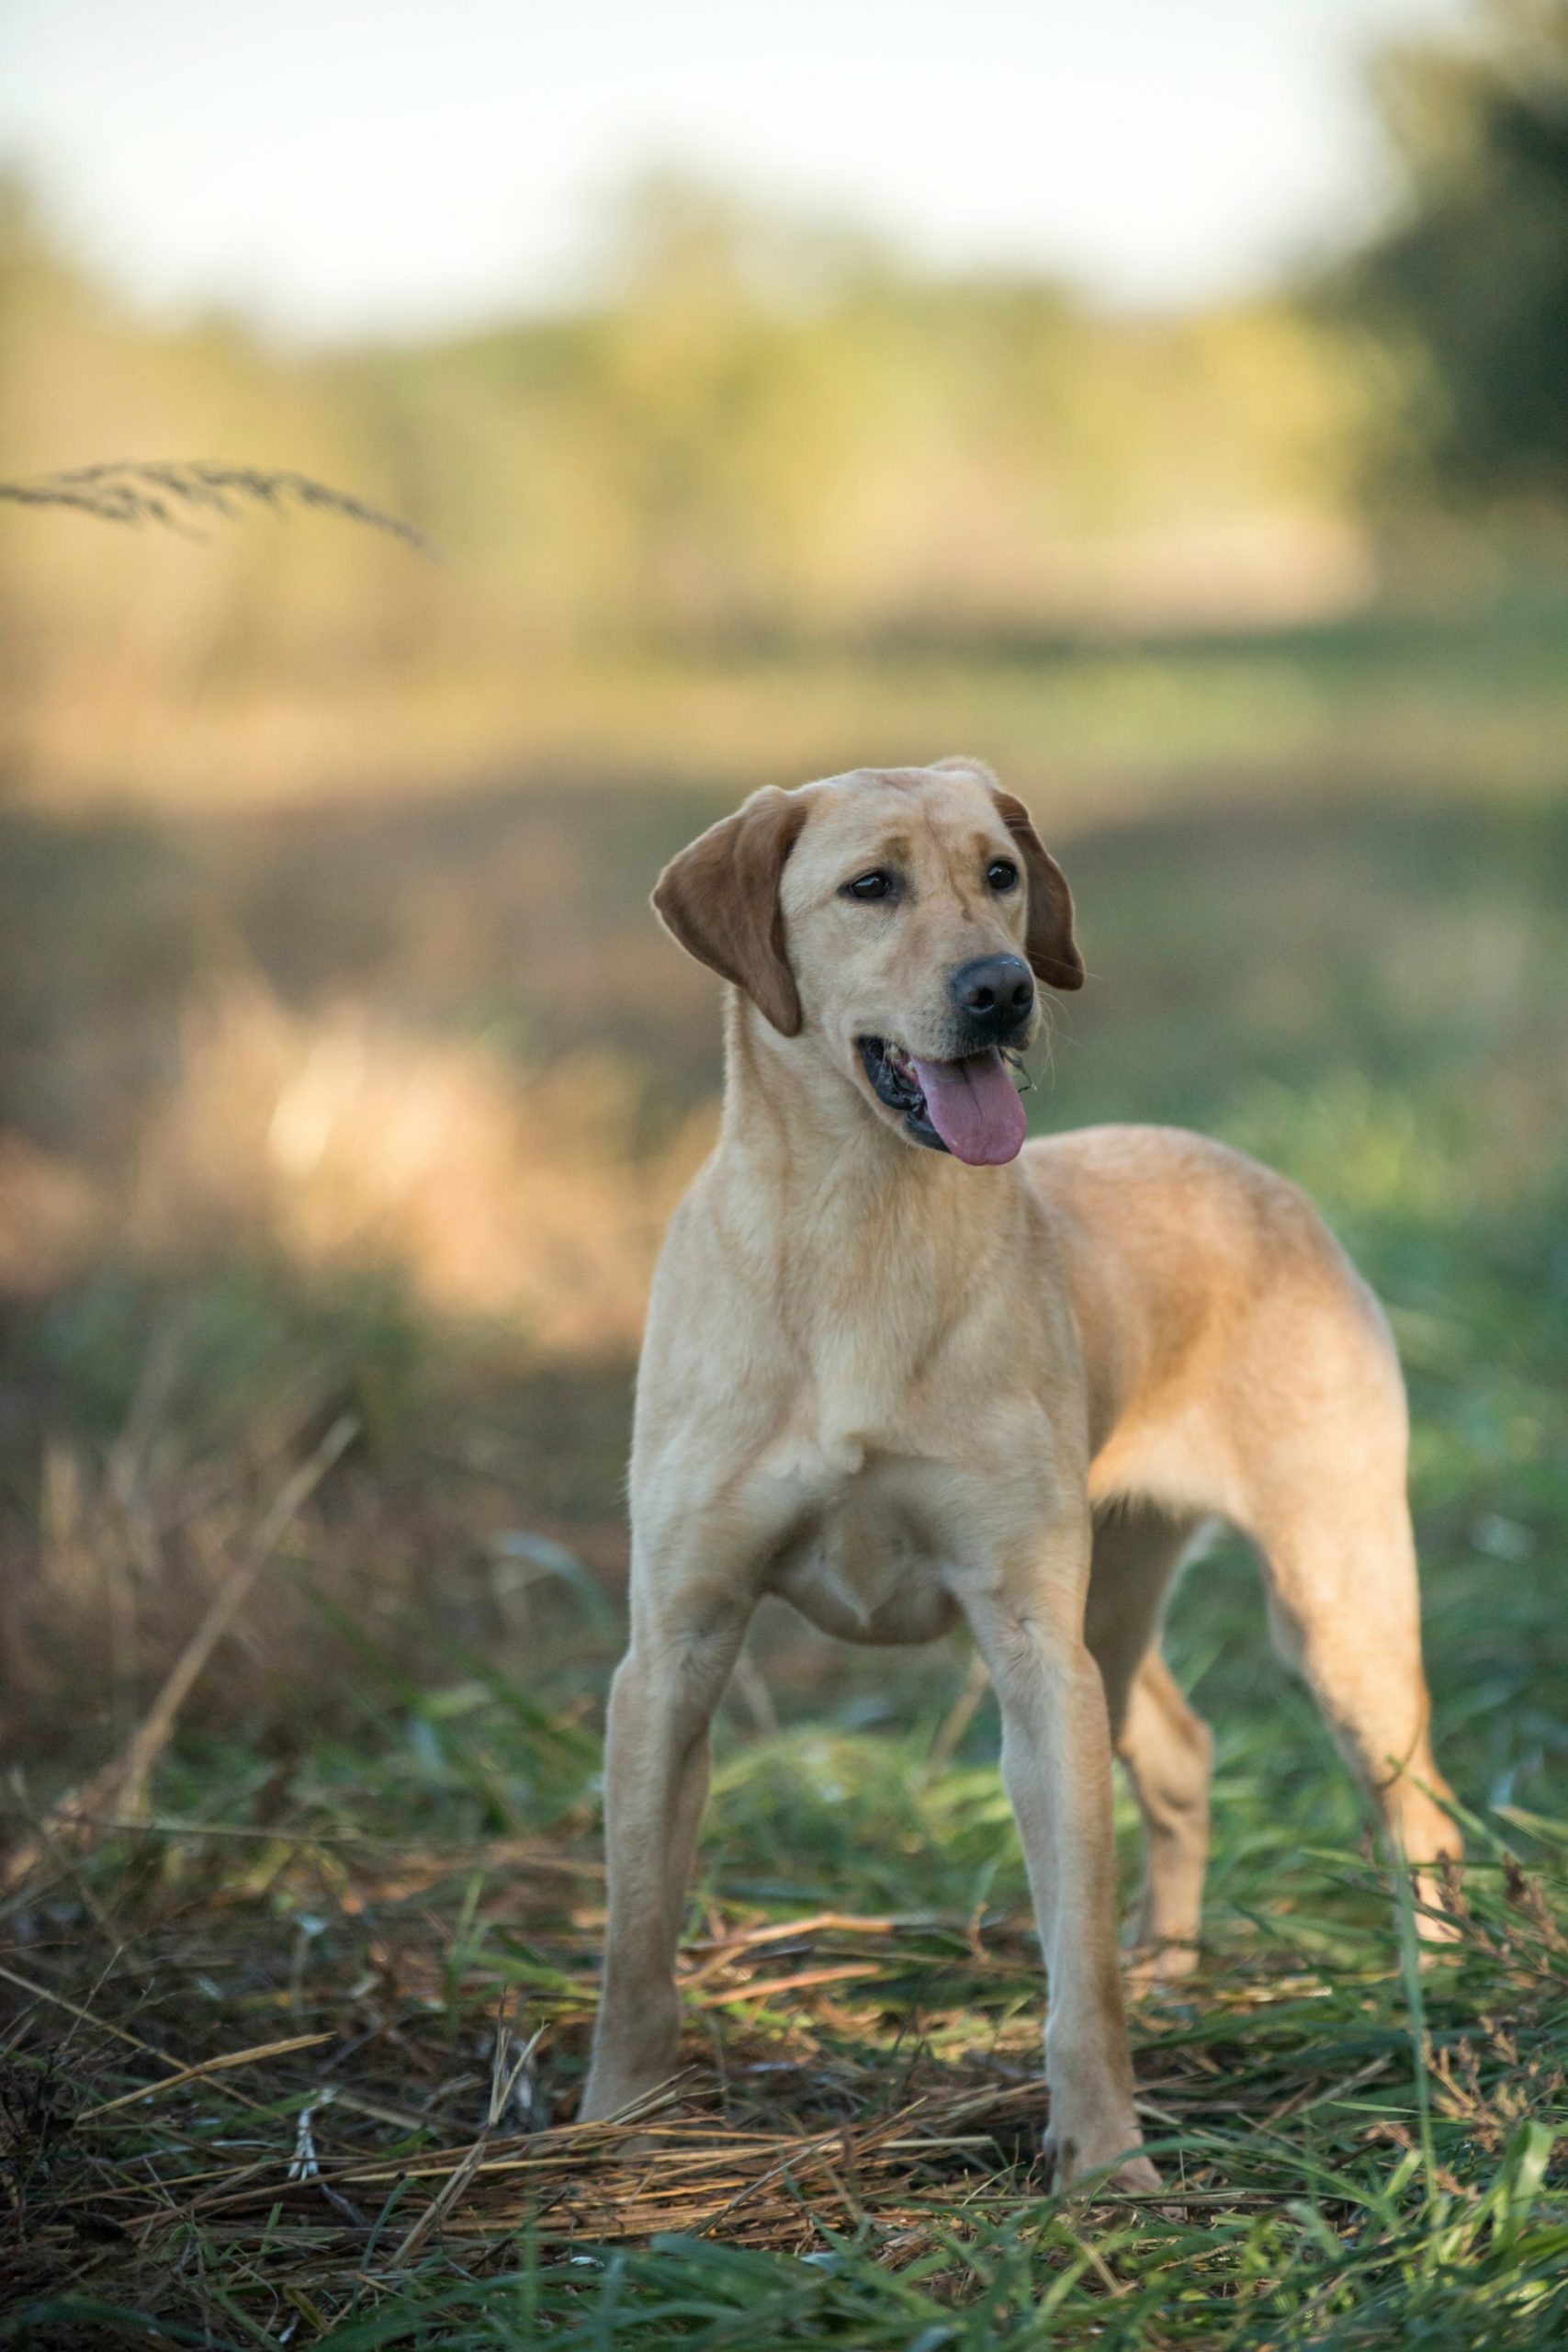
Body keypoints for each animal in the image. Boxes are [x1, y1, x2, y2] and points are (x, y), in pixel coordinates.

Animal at [582, 762, 1466, 2191]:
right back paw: (1177, 1968)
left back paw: (1438, 2000)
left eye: (999, 874)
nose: (1001, 987)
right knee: (1180, 1750)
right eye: (870, 886)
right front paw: (612, 2126)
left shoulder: (1035, 1653)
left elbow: (1076, 1967)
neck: (857, 1228)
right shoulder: (675, 1645)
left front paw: (1104, 2166)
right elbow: (637, 1931)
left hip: (1331, 1610)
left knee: (1420, 1820)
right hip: (1120, 1601)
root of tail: (1256, 1173)